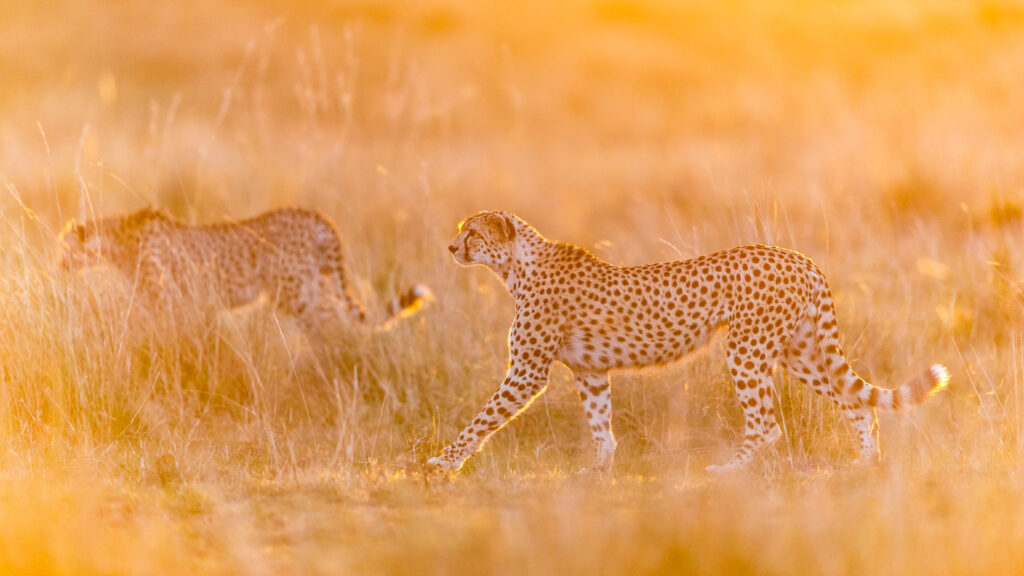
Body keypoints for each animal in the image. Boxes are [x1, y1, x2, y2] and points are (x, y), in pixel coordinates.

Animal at [60, 206, 428, 332]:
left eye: (64, 248)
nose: (58, 264)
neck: (121, 237)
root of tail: (317, 215)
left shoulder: (168, 299)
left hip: (296, 295)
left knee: (330, 327)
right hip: (316, 286)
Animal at [425, 210, 950, 471]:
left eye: (471, 232)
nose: (450, 247)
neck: (517, 266)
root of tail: (798, 256)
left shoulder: (527, 373)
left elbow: (481, 420)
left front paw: (444, 462)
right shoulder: (591, 372)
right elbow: (599, 426)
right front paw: (597, 471)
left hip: (747, 350)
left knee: (767, 425)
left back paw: (729, 471)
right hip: (799, 352)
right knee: (855, 401)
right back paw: (865, 462)